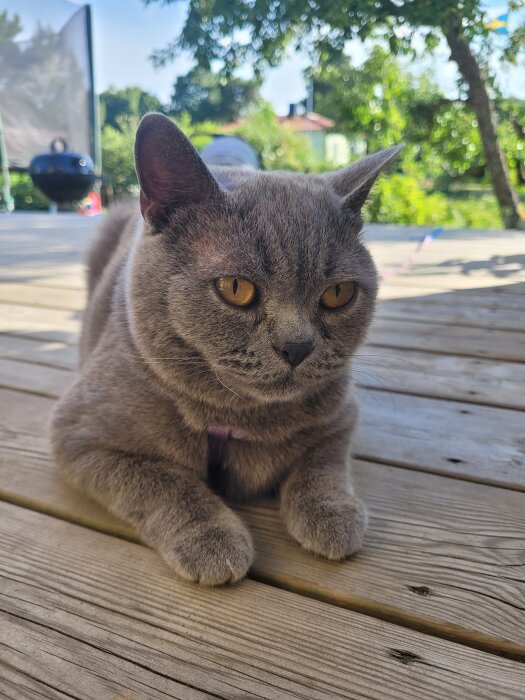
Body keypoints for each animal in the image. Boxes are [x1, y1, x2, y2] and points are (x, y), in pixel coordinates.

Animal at [50, 115, 402, 584]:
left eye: (337, 294)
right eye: (236, 288)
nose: (296, 346)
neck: (238, 419)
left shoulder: (341, 414)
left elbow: (323, 461)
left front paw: (333, 515)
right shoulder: (78, 435)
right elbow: (162, 480)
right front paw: (212, 540)